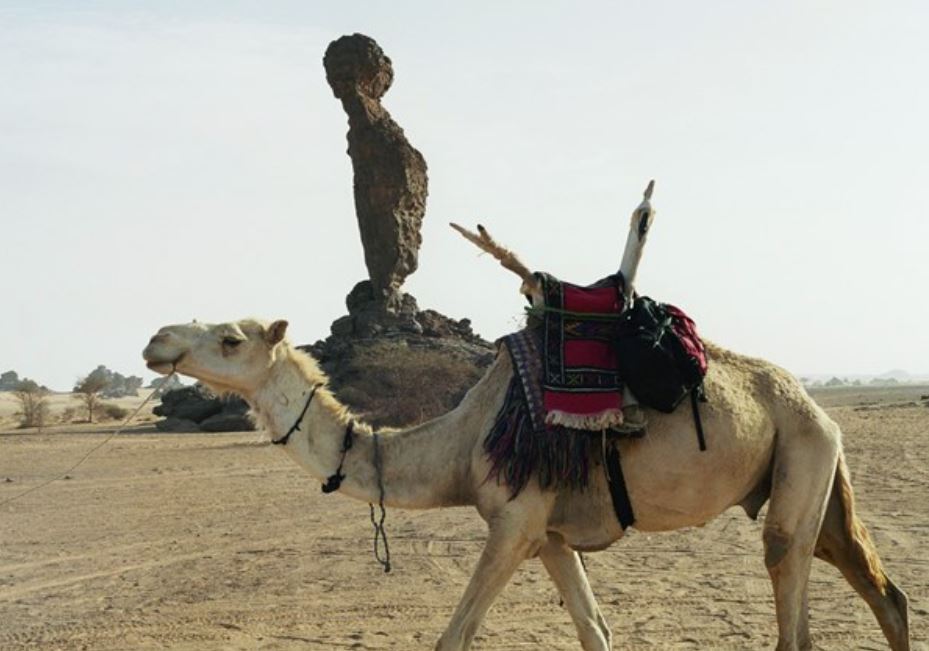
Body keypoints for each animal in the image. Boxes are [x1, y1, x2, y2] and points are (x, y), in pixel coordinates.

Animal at [143, 317, 909, 650]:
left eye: (231, 338)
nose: (157, 339)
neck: (457, 444)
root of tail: (815, 404)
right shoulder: (550, 536)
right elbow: (596, 630)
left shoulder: (511, 521)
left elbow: (452, 638)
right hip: (814, 472)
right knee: (881, 589)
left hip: (800, 456)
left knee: (790, 582)